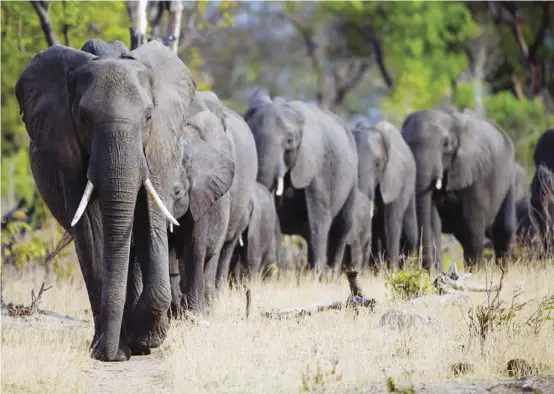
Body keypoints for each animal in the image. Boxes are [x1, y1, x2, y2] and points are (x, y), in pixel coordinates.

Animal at [15, 38, 196, 362]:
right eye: (84, 120)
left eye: (148, 117)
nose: (109, 354)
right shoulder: (67, 150)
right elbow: (92, 230)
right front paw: (114, 351)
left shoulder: (158, 146)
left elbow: (149, 219)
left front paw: (144, 339)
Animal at [243, 92, 356, 278]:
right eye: (251, 135)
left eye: (289, 141)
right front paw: (277, 276)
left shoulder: (316, 166)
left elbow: (318, 219)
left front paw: (316, 277)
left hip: (353, 178)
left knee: (342, 226)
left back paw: (331, 276)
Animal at [402, 109, 512, 272]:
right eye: (405, 143)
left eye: (446, 144)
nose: (429, 270)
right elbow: (433, 220)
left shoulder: (474, 171)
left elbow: (472, 221)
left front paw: (475, 272)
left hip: (510, 178)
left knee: (503, 229)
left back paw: (502, 271)